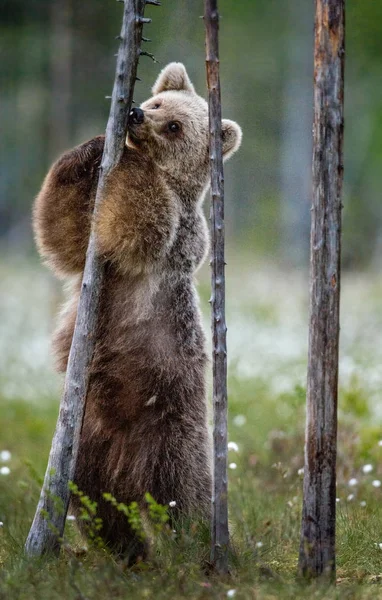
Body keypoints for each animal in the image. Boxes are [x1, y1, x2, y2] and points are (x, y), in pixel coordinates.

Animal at [32, 63, 242, 560]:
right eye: (157, 102)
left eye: (175, 125)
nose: (135, 115)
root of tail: (127, 469)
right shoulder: (95, 261)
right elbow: (63, 230)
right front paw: (92, 146)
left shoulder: (180, 235)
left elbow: (142, 225)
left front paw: (131, 160)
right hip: (84, 447)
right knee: (94, 504)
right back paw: (128, 552)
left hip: (171, 429)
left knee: (184, 496)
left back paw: (197, 547)